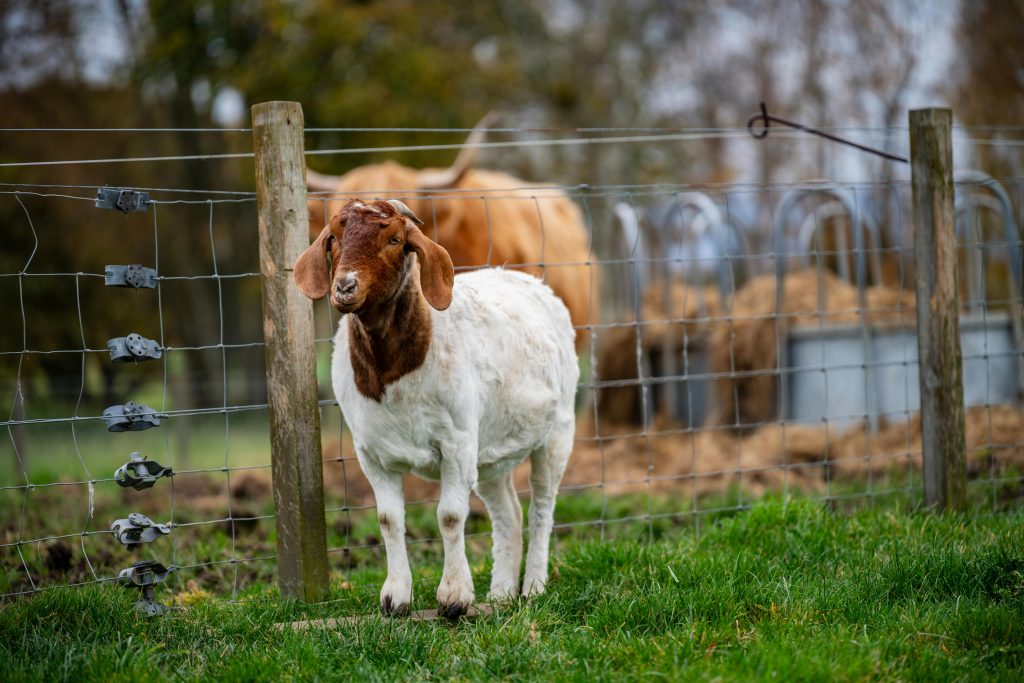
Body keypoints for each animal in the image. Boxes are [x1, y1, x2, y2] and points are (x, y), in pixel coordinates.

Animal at [292, 196, 577, 614]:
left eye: (395, 239)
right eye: (334, 238)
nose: (344, 286)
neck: (391, 369)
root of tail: (531, 282)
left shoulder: (456, 442)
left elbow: (450, 516)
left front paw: (455, 598)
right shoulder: (372, 452)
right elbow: (388, 519)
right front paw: (395, 598)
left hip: (556, 433)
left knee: (542, 506)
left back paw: (534, 587)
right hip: (489, 450)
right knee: (508, 512)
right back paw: (501, 593)